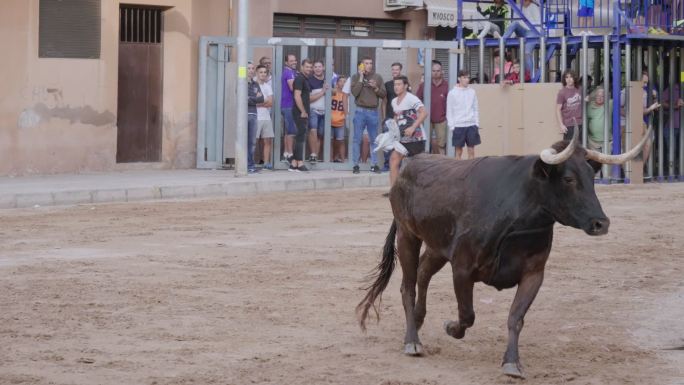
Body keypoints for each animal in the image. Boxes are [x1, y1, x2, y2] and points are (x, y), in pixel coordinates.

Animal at [356, 127, 648, 378]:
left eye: (592, 178)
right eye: (568, 179)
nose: (601, 223)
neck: (518, 216)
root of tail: (408, 168)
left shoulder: (533, 274)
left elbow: (515, 318)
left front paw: (512, 363)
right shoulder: (462, 268)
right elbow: (467, 314)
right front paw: (451, 328)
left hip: (438, 246)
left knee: (424, 273)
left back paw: (417, 321)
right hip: (408, 235)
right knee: (408, 285)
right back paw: (412, 341)